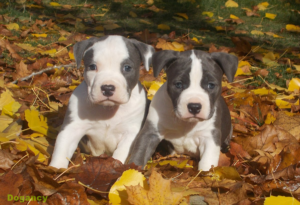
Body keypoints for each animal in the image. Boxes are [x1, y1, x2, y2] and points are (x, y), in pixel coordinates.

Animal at [49, 36, 155, 169]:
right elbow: (62, 148)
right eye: (92, 66)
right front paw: (55, 169)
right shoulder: (72, 128)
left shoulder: (130, 133)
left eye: (127, 68)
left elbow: (121, 153)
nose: (108, 88)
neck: (108, 109)